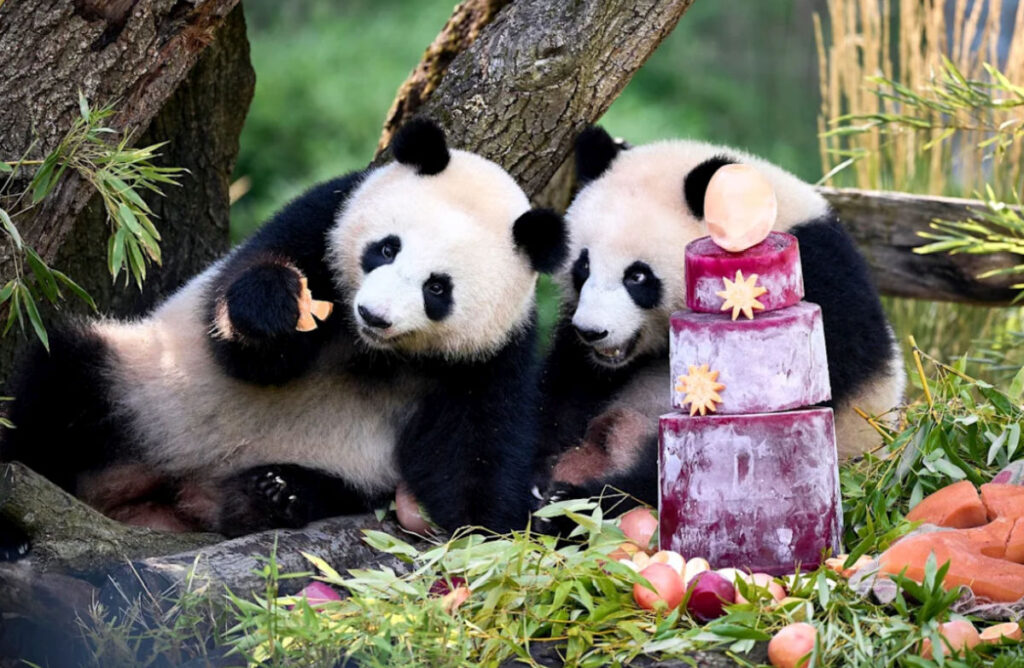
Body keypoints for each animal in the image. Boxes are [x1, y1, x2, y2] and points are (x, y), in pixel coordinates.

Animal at [0, 118, 568, 547]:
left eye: (437, 288)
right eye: (386, 248)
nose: (374, 314)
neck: (373, 352)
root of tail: (161, 497)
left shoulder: (488, 355)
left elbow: (475, 451)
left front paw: (486, 539)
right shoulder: (321, 220)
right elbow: (248, 350)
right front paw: (275, 307)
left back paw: (273, 494)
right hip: (143, 387)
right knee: (61, 385)